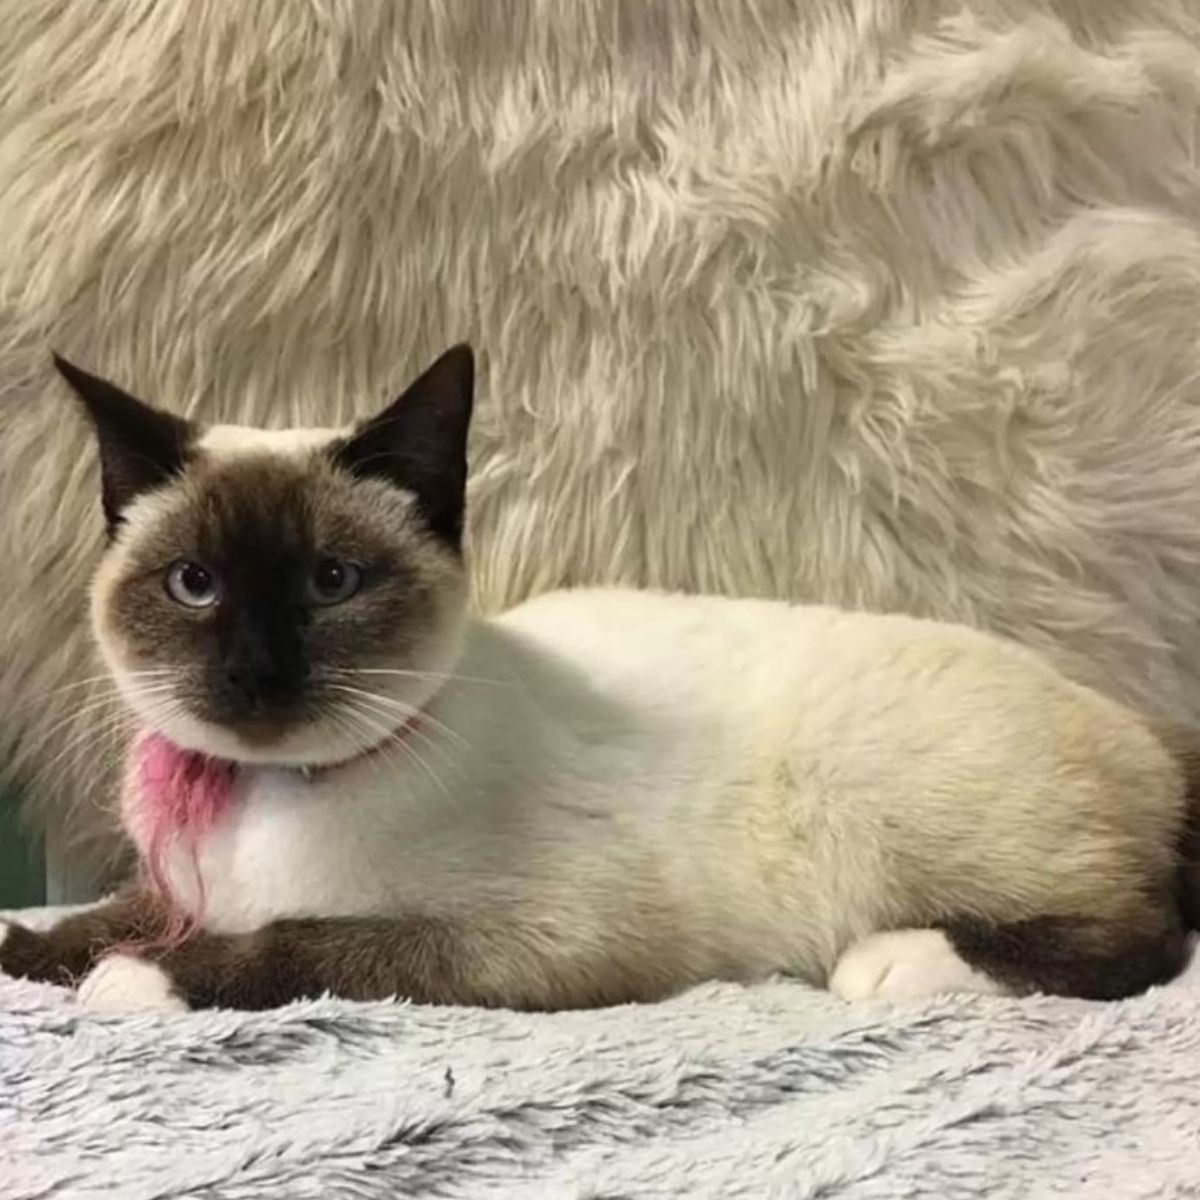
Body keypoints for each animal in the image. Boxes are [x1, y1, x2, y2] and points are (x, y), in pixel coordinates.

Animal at [0, 348, 1195, 1012]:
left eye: (331, 583)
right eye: (194, 585)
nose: (252, 671)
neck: (261, 799)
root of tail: (1136, 725)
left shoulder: (537, 939)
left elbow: (308, 944)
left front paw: (145, 981)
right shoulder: (176, 892)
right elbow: (99, 918)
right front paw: (33, 951)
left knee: (1146, 936)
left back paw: (894, 961)